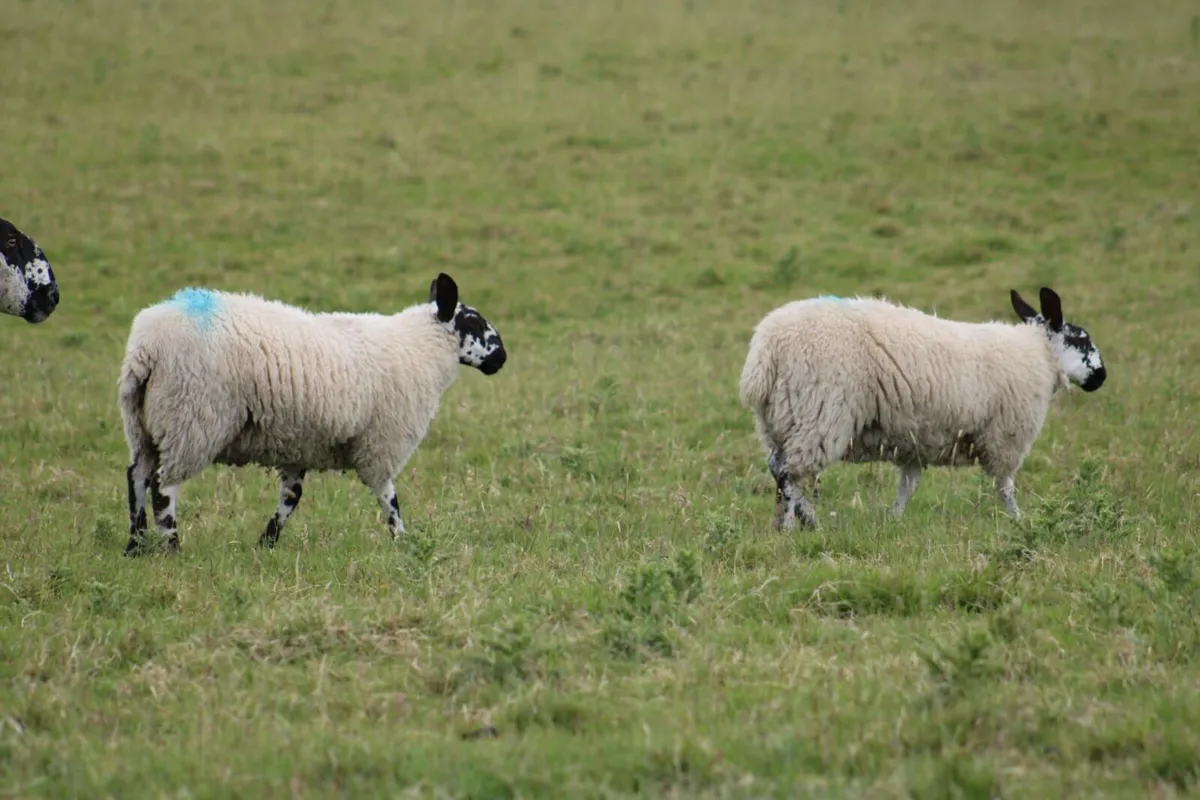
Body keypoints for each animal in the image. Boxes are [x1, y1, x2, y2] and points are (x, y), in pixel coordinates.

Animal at [118, 272, 507, 555]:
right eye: (474, 322)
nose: (501, 358)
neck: (420, 347)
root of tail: (147, 347)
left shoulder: (298, 444)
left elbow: (291, 498)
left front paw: (266, 543)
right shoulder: (380, 444)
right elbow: (388, 496)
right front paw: (402, 540)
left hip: (142, 423)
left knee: (137, 476)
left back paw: (135, 545)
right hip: (191, 417)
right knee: (163, 486)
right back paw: (171, 547)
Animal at [738, 287, 1107, 530]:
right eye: (1082, 340)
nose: (1101, 377)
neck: (1038, 354)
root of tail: (764, 352)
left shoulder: (916, 440)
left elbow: (908, 486)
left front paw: (894, 520)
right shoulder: (1005, 437)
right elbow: (1005, 487)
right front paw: (1018, 520)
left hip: (779, 419)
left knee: (777, 466)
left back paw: (801, 520)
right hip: (818, 415)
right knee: (789, 473)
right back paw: (791, 526)